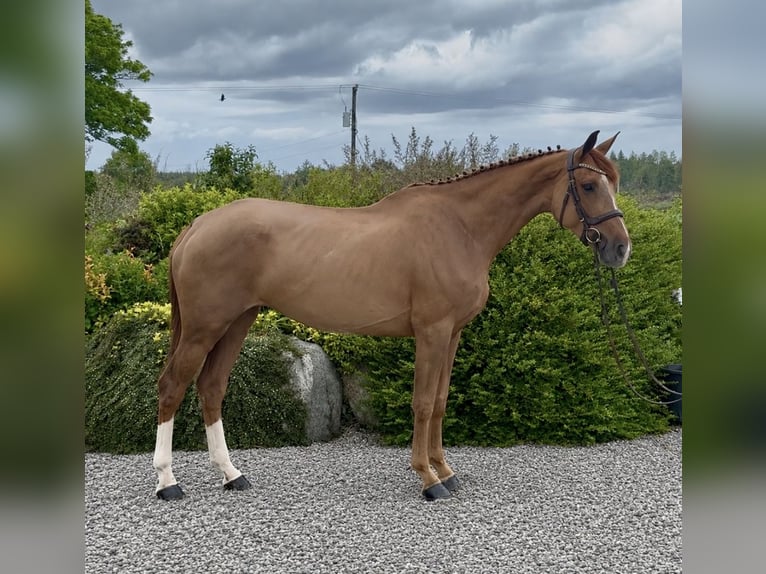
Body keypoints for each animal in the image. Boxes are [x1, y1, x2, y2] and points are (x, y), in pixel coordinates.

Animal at [152, 130, 630, 501]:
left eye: (615, 182)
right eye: (589, 186)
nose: (620, 248)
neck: (460, 227)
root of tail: (197, 225)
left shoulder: (452, 334)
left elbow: (440, 401)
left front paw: (446, 472)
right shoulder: (432, 331)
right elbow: (422, 402)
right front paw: (428, 479)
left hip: (237, 322)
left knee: (212, 387)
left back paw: (232, 475)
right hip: (203, 328)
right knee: (173, 386)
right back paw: (168, 483)